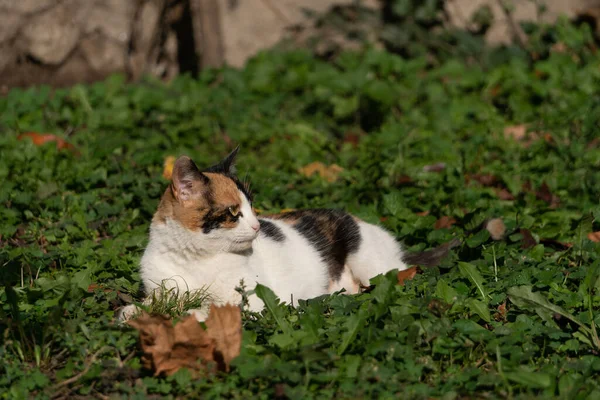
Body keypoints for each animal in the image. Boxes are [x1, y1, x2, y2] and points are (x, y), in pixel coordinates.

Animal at [117, 148, 454, 322]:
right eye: (233, 212)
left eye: (252, 206)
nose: (257, 226)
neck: (196, 260)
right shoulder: (161, 287)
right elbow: (154, 303)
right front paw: (134, 311)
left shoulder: (254, 303)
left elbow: (208, 309)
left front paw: (182, 315)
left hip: (373, 267)